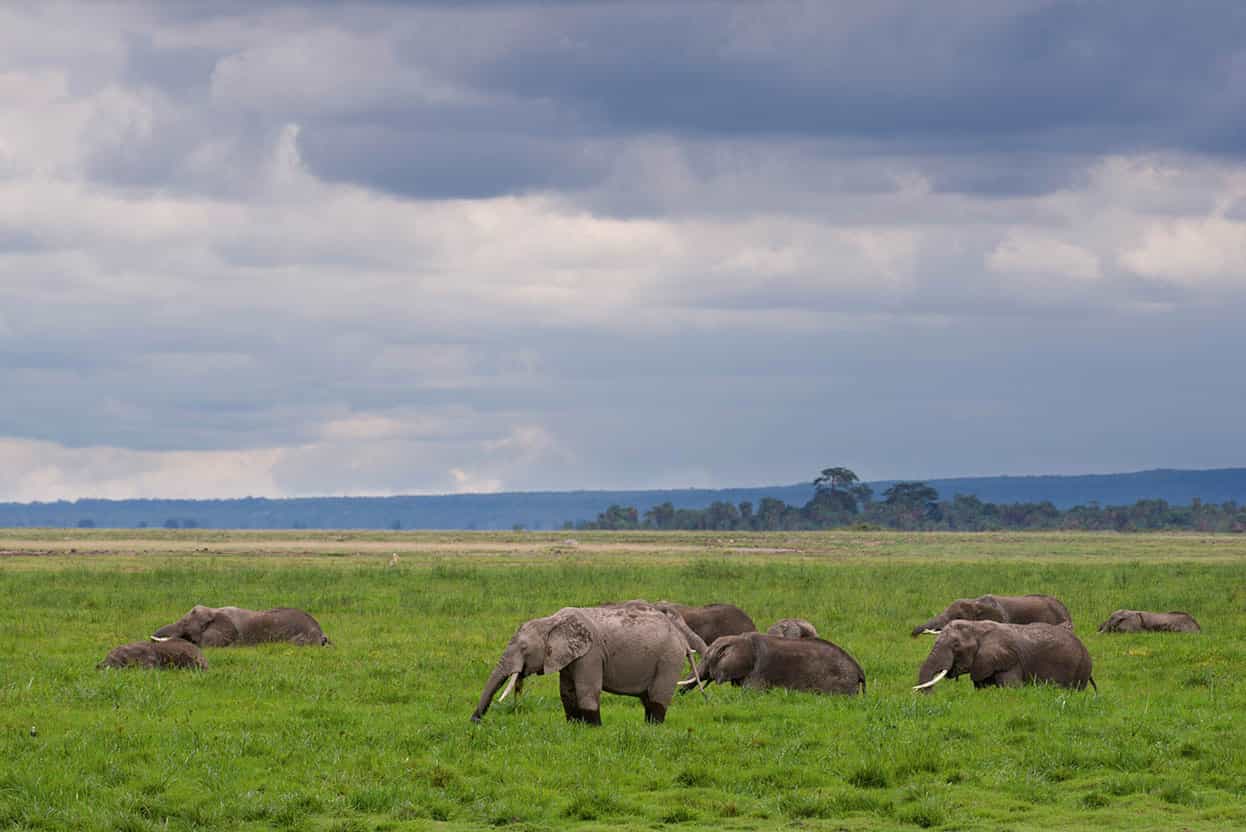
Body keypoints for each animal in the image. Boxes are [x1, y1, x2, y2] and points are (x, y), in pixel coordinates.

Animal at [473, 600, 697, 722]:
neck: (552, 621)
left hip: (669, 659)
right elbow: (567, 692)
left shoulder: (591, 654)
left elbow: (587, 690)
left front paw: (593, 729)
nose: (475, 721)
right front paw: (575, 727)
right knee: (647, 699)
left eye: (524, 649)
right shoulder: (567, 656)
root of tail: (682, 640)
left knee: (658, 697)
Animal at [682, 630, 867, 697]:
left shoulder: (759, 670)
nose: (680, 696)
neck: (740, 639)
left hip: (840, 682)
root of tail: (860, 671)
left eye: (707, 658)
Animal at [912, 620, 1096, 692]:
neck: (977, 627)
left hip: (1081, 668)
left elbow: (1011, 688)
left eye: (956, 646)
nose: (931, 696)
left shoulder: (1010, 661)